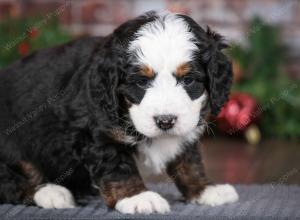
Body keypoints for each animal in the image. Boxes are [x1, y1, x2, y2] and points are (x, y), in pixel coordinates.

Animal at [0, 11, 238, 214]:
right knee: (8, 183)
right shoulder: (96, 134)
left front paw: (204, 189)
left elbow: (189, 161)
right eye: (141, 82)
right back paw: (51, 192)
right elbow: (118, 167)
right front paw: (137, 197)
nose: (165, 121)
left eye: (188, 80)